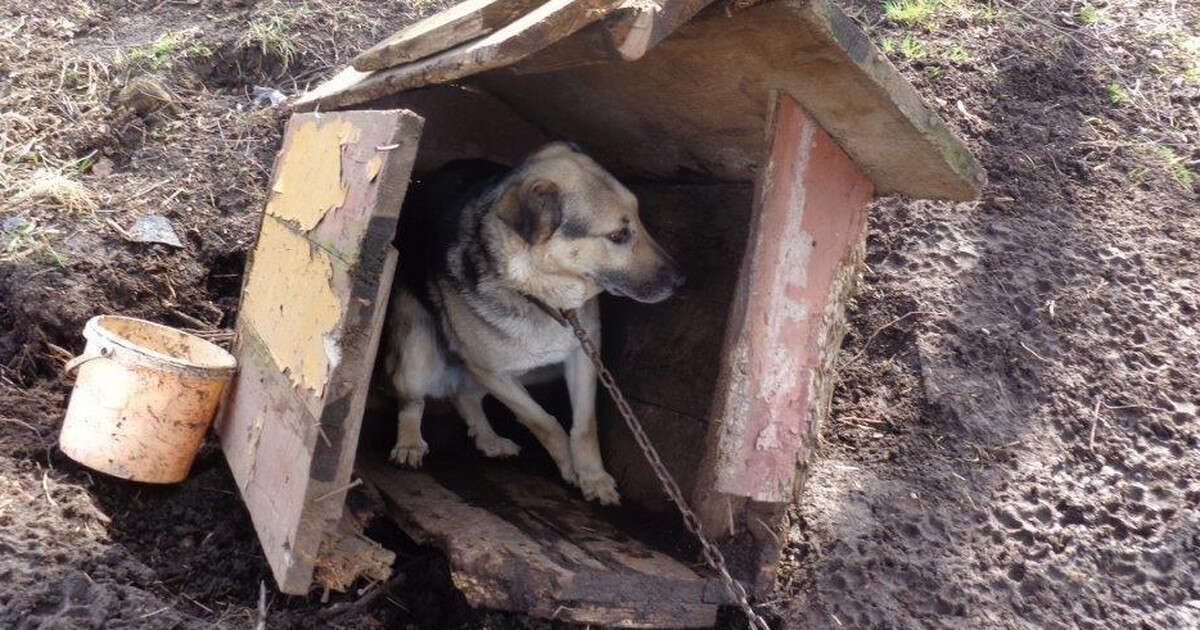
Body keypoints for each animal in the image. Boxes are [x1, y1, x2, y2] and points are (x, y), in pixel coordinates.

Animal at [384, 139, 686, 504]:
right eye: (617, 235)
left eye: (640, 219)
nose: (680, 281)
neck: (540, 293)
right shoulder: (491, 369)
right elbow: (544, 422)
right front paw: (571, 469)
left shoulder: (583, 356)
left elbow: (585, 426)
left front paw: (593, 476)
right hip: (419, 354)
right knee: (411, 399)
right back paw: (409, 443)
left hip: (529, 369)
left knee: (465, 397)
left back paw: (490, 439)